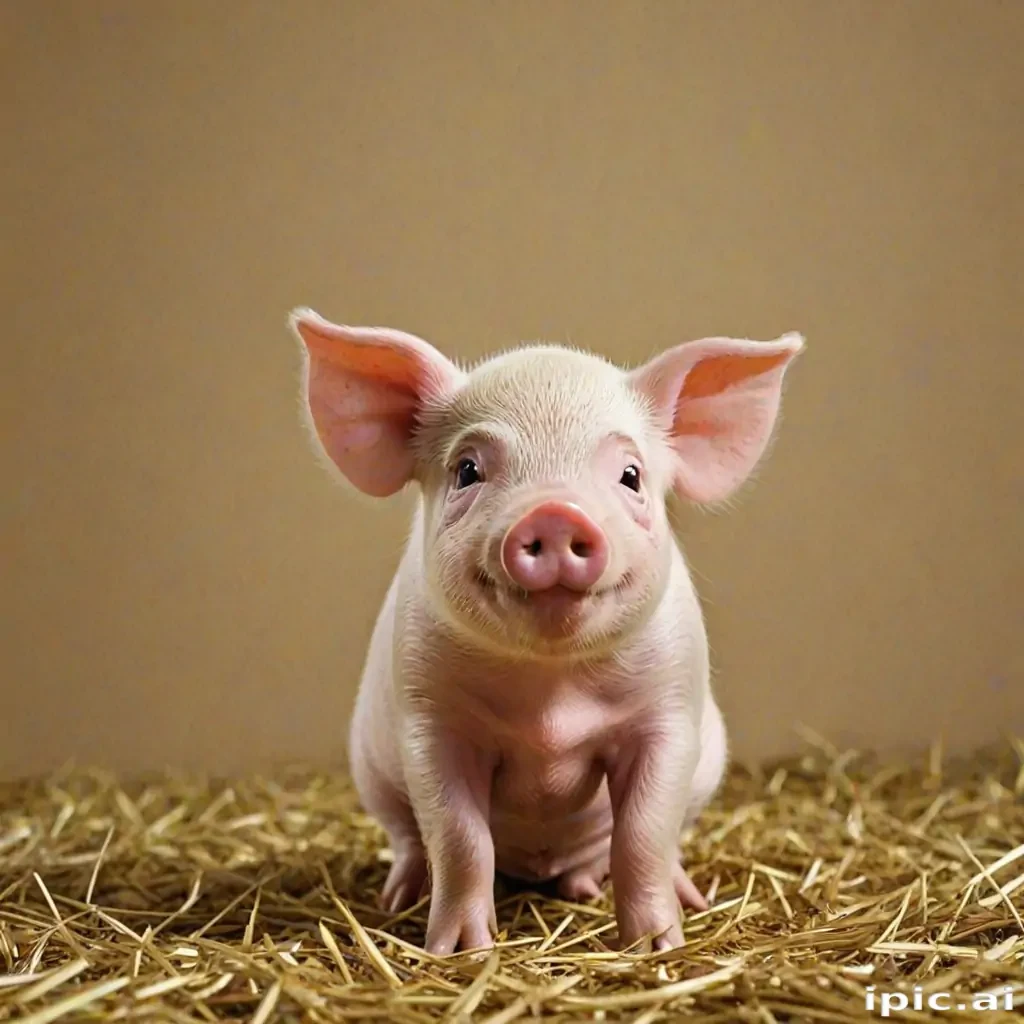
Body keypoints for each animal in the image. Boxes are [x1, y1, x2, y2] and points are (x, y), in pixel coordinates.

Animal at [289, 307, 804, 954]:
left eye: (630, 476)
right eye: (467, 469)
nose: (555, 513)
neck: (550, 701)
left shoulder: (668, 715)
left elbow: (644, 834)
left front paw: (658, 946)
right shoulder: (430, 719)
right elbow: (459, 838)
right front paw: (461, 951)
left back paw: (637, 892)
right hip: (372, 770)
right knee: (408, 837)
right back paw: (397, 896)